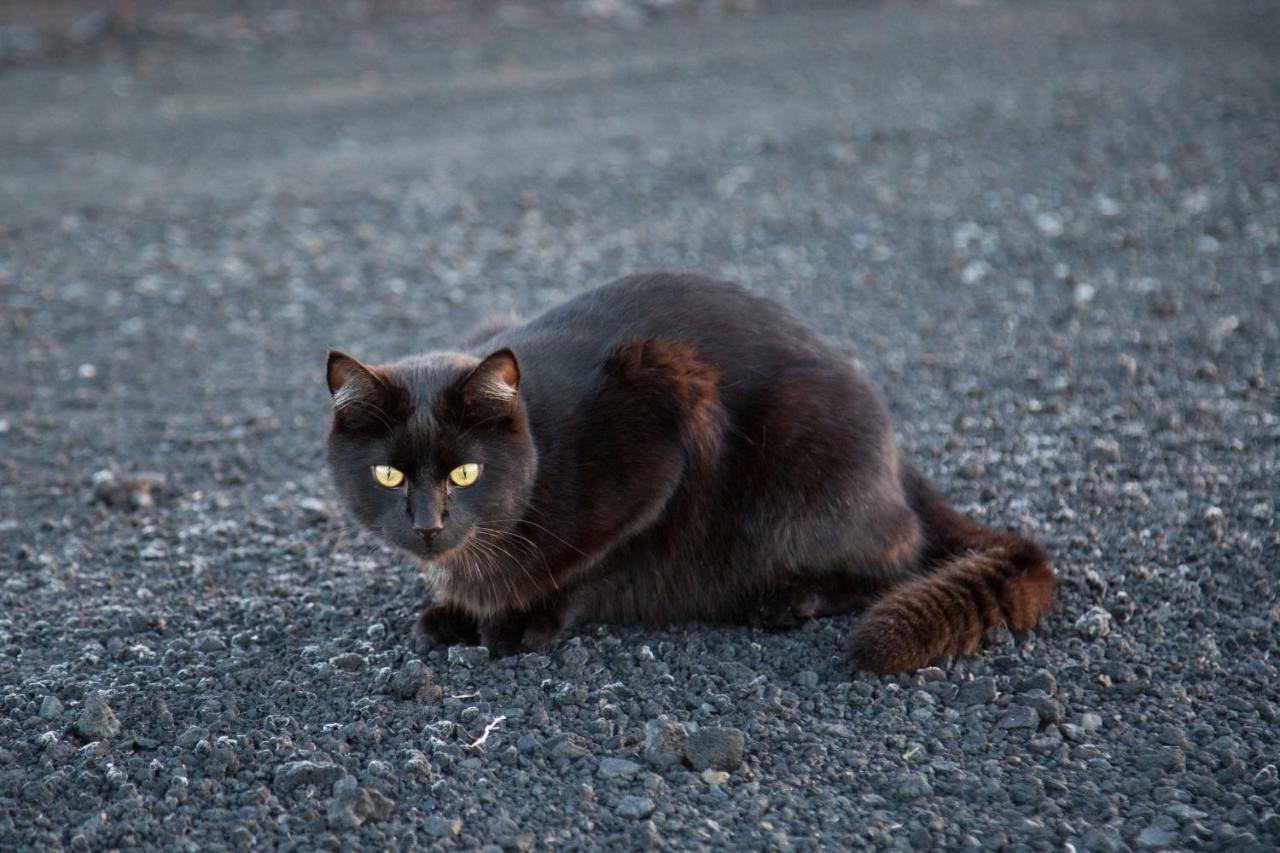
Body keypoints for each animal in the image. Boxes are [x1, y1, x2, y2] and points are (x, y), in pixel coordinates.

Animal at [325, 272, 1054, 671]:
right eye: (389, 477)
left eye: (467, 474)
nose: (428, 524)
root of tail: (899, 459)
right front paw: (452, 609)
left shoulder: (665, 417)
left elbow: (594, 563)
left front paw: (519, 617)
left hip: (804, 451)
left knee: (895, 557)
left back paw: (789, 597)